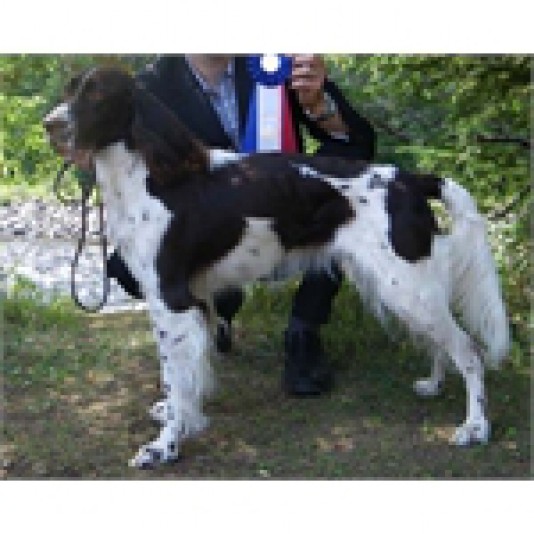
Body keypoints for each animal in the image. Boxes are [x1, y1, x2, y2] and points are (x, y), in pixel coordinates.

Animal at [43, 67, 510, 468]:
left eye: (97, 94)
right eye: (70, 89)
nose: (49, 125)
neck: (149, 175)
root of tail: (409, 179)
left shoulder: (170, 299)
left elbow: (174, 376)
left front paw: (165, 446)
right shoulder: (194, 297)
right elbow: (188, 377)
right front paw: (183, 414)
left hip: (406, 286)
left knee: (470, 351)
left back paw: (475, 426)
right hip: (404, 287)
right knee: (442, 344)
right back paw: (433, 385)